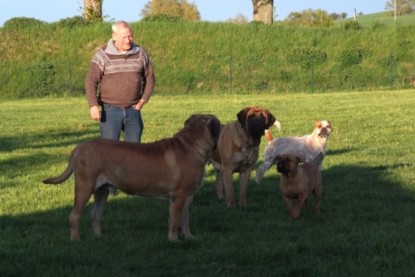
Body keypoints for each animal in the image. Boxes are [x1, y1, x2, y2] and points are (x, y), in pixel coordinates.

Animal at [43, 113, 221, 240]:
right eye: (219, 125)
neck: (192, 144)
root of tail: (78, 148)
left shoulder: (186, 196)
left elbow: (184, 219)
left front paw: (189, 237)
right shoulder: (179, 195)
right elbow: (176, 219)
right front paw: (174, 240)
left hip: (101, 191)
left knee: (95, 215)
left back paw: (99, 237)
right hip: (84, 187)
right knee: (74, 216)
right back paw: (76, 240)